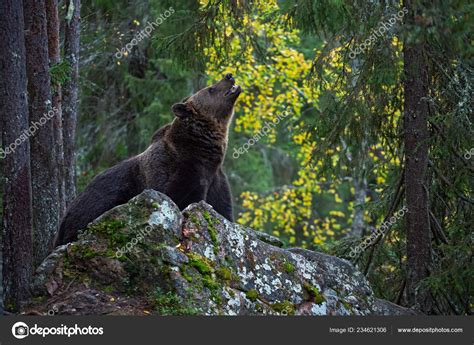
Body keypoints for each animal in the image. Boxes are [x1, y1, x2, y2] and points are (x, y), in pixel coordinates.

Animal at [54, 74, 241, 247]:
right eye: (210, 89)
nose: (229, 76)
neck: (204, 151)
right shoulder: (183, 172)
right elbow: (181, 198)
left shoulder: (216, 180)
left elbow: (223, 209)